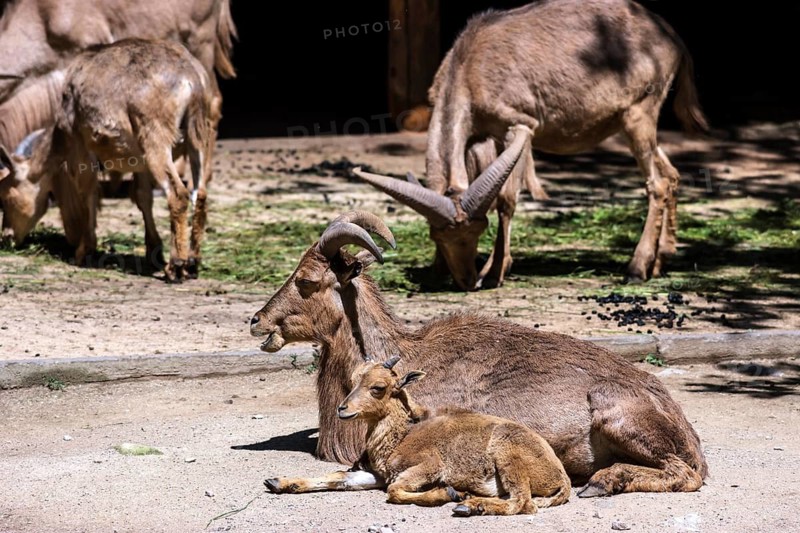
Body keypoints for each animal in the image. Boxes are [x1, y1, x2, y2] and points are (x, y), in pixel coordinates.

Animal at [0, 39, 215, 281]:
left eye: (5, 196)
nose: (7, 237)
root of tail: (191, 78)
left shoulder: (79, 144)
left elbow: (88, 189)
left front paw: (83, 251)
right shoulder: (139, 162)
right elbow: (142, 196)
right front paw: (153, 251)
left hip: (155, 138)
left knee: (178, 193)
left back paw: (176, 266)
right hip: (199, 135)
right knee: (200, 192)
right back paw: (193, 262)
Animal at [249, 210, 708, 497]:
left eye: (307, 280)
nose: (257, 321)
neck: (401, 356)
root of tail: (681, 423)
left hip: (620, 421)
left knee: (683, 473)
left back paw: (602, 480)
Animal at [265, 356, 571, 517]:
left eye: (378, 387)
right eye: (353, 383)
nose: (343, 409)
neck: (401, 436)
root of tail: (560, 478)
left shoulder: (428, 466)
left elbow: (395, 491)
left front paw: (448, 492)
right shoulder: (377, 474)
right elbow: (339, 478)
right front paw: (280, 482)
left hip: (508, 455)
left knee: (523, 503)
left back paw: (469, 505)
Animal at [356, 0, 708, 290]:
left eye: (477, 231)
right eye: (437, 234)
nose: (466, 280)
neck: (471, 65)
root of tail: (672, 38)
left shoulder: (517, 126)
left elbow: (506, 200)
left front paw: (494, 272)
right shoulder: (483, 136)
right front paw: (440, 268)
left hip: (639, 114)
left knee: (657, 183)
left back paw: (636, 268)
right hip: (632, 123)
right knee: (672, 174)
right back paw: (660, 262)